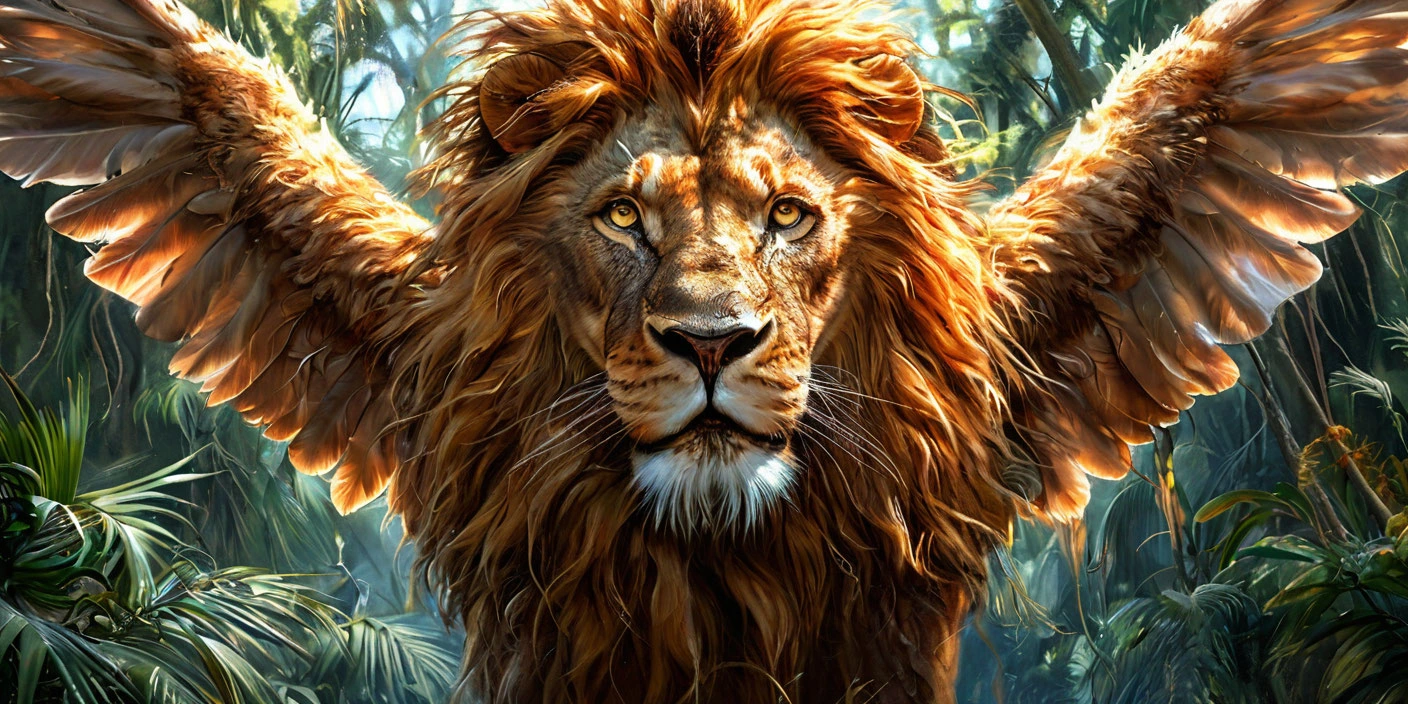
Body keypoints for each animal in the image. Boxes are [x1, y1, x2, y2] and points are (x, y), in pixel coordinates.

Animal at [2, 0, 1405, 700]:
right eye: (623, 216)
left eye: (788, 213)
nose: (713, 341)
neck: (715, 562)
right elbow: (205, 74)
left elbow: (1203, 69)